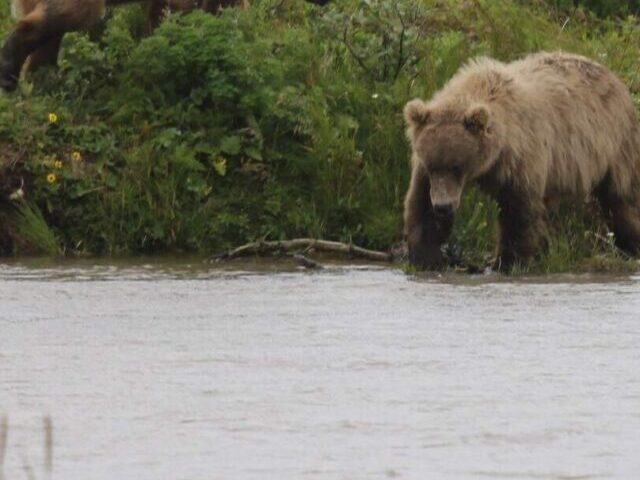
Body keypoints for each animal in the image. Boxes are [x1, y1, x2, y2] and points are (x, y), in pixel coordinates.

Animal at [402, 52, 640, 272]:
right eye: (433, 166)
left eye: (457, 167)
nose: (443, 207)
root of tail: (614, 77)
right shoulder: (425, 168)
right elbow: (421, 204)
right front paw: (427, 257)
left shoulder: (520, 156)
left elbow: (517, 210)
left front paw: (506, 261)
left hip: (615, 144)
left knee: (621, 198)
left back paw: (631, 244)